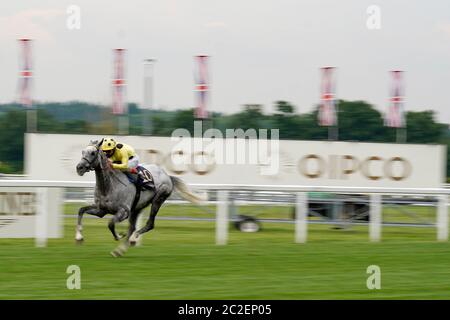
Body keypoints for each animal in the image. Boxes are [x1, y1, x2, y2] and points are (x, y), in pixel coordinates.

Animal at [75, 140, 206, 258]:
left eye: (93, 153)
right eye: (82, 152)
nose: (79, 167)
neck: (109, 186)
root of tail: (167, 175)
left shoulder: (124, 211)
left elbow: (111, 223)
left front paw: (119, 235)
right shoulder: (101, 210)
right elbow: (81, 210)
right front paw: (79, 237)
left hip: (158, 199)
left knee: (149, 224)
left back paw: (133, 238)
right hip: (138, 207)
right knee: (132, 227)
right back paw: (120, 250)